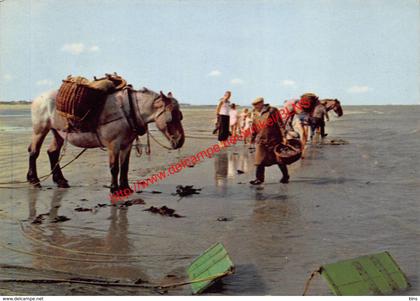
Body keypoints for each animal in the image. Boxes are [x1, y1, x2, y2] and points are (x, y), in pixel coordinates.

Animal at [26, 86, 184, 192]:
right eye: (170, 119)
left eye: (180, 116)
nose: (180, 141)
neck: (128, 110)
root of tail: (38, 98)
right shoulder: (113, 145)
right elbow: (114, 167)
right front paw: (114, 188)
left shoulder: (126, 145)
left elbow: (124, 167)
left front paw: (125, 187)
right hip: (40, 130)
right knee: (34, 152)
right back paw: (34, 180)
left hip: (58, 133)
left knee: (53, 152)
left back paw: (60, 180)